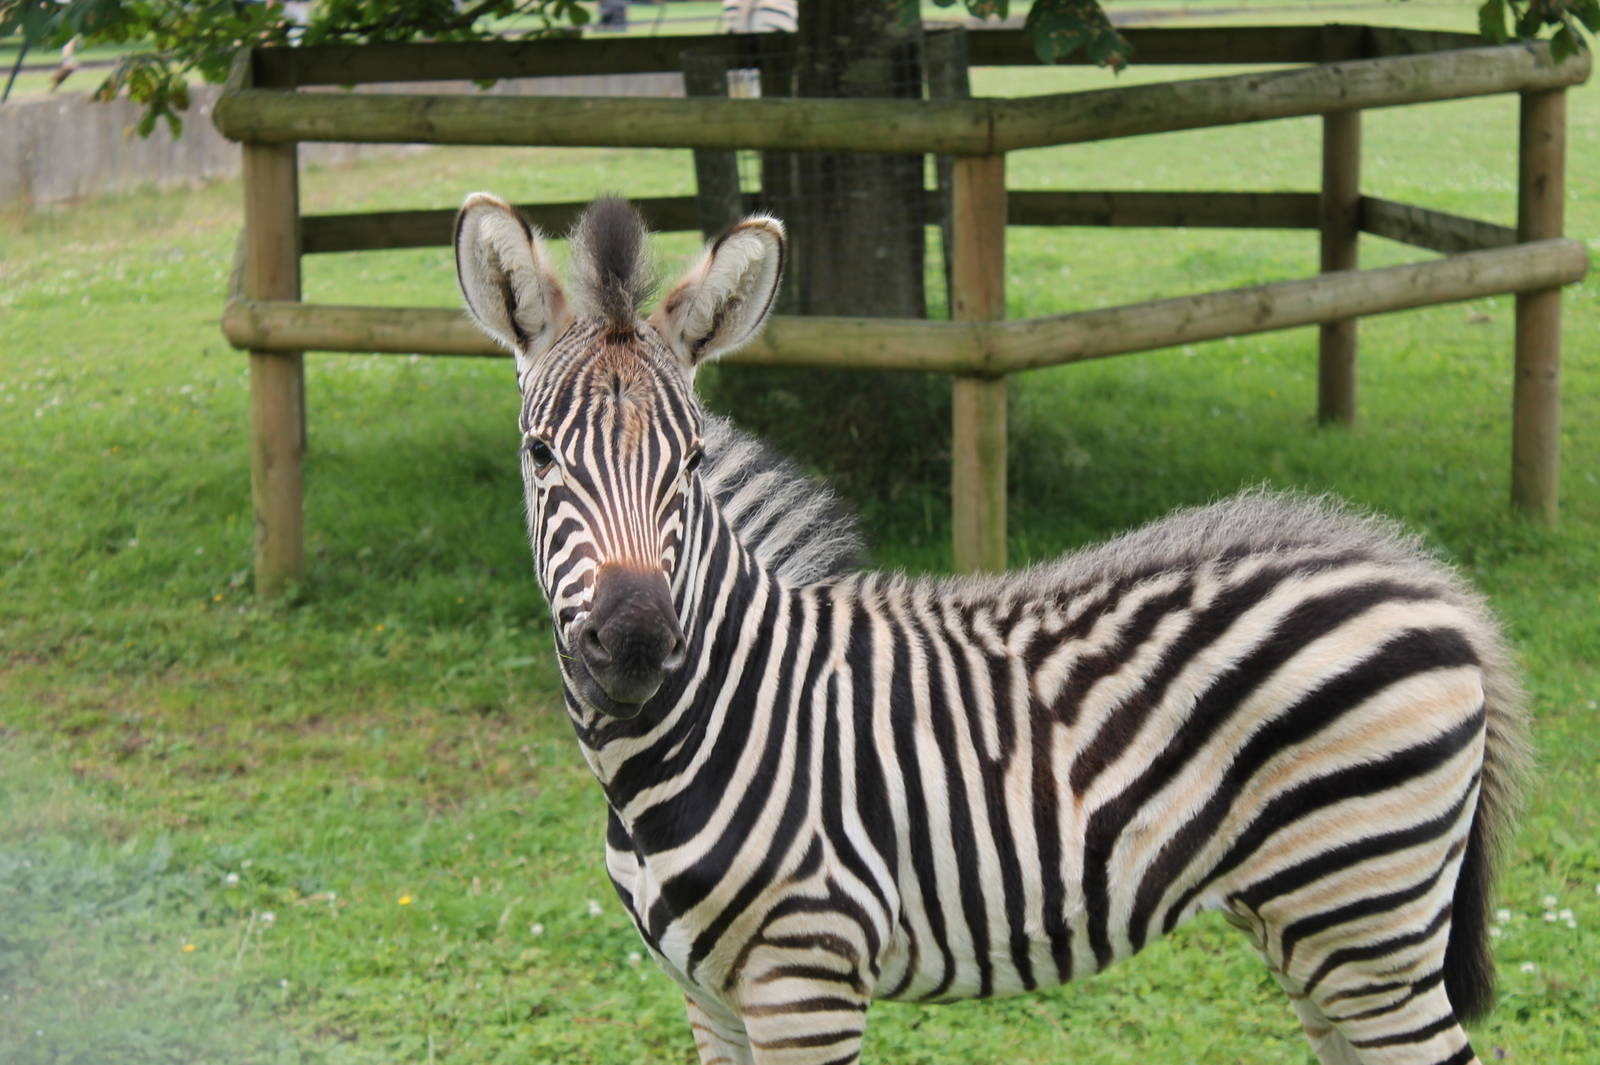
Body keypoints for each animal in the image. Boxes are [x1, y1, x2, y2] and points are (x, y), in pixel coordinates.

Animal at [453, 193, 1529, 1065]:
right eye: (539, 455)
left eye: (688, 463)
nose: (635, 645)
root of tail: (1427, 583)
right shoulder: (706, 995)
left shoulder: (808, 976)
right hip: (1312, 926)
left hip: (1366, 918)